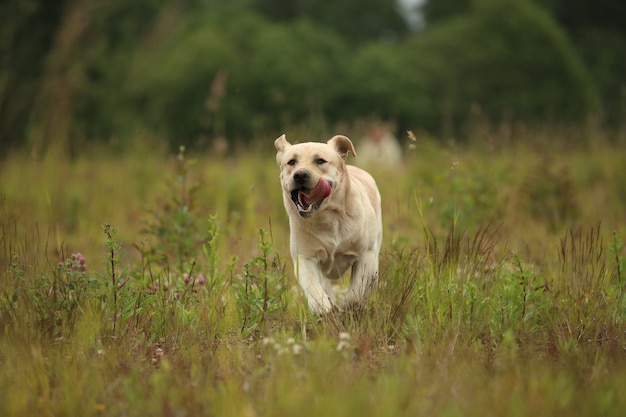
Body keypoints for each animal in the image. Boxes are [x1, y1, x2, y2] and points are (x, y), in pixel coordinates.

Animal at [272, 133, 380, 312]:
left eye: (320, 161)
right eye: (292, 162)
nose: (300, 175)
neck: (329, 217)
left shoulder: (367, 255)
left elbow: (357, 290)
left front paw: (348, 304)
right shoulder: (305, 257)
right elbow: (312, 286)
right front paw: (322, 306)